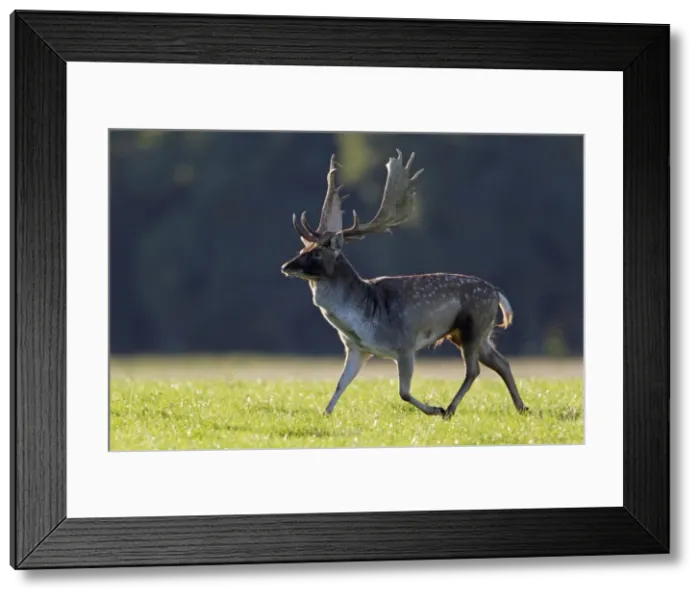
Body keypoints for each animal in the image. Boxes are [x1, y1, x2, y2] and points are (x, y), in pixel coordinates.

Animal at [280, 149, 528, 419]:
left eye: (316, 253)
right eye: (303, 249)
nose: (286, 266)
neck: (364, 319)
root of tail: (497, 293)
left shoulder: (406, 344)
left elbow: (404, 392)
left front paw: (433, 408)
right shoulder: (356, 349)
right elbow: (339, 384)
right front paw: (325, 413)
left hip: (473, 325)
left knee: (474, 370)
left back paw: (449, 408)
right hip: (471, 333)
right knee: (501, 362)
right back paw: (521, 406)